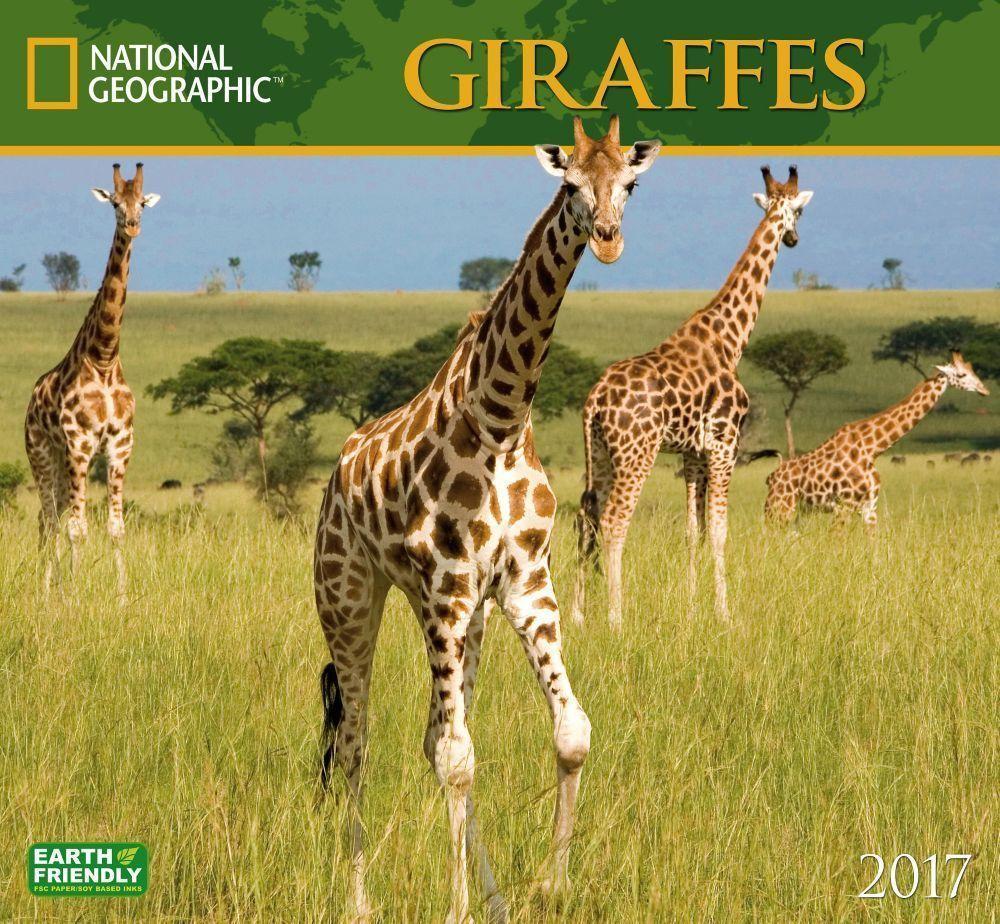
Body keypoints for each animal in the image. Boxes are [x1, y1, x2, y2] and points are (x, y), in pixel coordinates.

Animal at [24, 163, 160, 599]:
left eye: (142, 202)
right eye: (115, 203)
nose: (132, 226)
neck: (103, 358)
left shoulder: (120, 445)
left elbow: (116, 528)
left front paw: (121, 597)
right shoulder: (79, 444)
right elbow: (77, 530)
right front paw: (75, 592)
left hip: (61, 463)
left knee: (46, 519)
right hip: (43, 454)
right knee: (50, 519)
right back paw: (48, 590)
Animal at [314, 116, 660, 924]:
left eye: (630, 184)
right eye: (569, 185)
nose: (606, 239)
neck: (500, 421)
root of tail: (337, 475)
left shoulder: (524, 585)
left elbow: (570, 733)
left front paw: (548, 885)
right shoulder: (448, 587)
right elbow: (458, 760)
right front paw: (458, 909)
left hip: (459, 618)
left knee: (428, 732)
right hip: (351, 597)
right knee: (357, 742)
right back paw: (359, 901)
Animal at [570, 166, 813, 627]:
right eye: (801, 212)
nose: (794, 240)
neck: (730, 339)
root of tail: (593, 400)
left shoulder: (692, 454)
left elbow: (692, 530)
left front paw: (692, 605)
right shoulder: (723, 444)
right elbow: (718, 530)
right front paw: (724, 613)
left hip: (601, 453)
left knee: (585, 516)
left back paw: (576, 615)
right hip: (636, 454)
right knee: (613, 521)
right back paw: (615, 617)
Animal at [764, 352, 989, 526]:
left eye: (973, 370)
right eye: (961, 374)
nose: (984, 390)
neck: (873, 448)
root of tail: (773, 475)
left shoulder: (869, 507)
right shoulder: (843, 506)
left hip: (796, 511)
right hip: (780, 506)